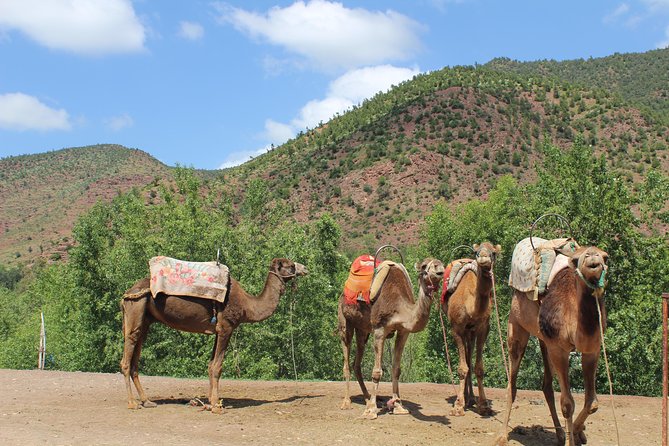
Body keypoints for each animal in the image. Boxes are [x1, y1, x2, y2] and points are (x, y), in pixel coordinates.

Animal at [120, 258, 308, 413]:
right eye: (291, 265)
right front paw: (217, 406)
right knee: (128, 354)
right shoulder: (226, 327)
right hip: (136, 306)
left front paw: (211, 402)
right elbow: (218, 366)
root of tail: (127, 293)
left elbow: (211, 365)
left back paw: (147, 401)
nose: (305, 268)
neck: (247, 305)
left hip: (145, 319)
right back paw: (132, 403)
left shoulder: (218, 330)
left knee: (137, 352)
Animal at [337, 258, 444, 419]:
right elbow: (376, 372)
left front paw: (398, 406)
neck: (400, 307)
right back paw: (347, 402)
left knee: (357, 362)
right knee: (346, 359)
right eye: (424, 266)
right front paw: (370, 411)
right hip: (345, 321)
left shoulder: (403, 331)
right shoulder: (379, 330)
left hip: (363, 330)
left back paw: (368, 398)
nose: (439, 268)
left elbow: (396, 369)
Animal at [444, 242, 501, 417]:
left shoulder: (483, 328)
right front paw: (458, 406)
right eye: (477, 252)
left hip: (471, 331)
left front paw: (484, 405)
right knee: (467, 358)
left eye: (494, 252)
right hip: (465, 331)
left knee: (469, 355)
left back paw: (471, 399)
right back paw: (465, 399)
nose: (483, 257)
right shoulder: (456, 328)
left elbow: (479, 368)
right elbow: (463, 368)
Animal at [495, 245, 609, 446]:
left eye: (605, 256)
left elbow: (592, 402)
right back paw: (502, 436)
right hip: (517, 327)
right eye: (576, 259)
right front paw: (573, 437)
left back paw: (560, 434)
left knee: (546, 385)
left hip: (544, 340)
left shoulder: (591, 350)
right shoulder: (559, 349)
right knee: (512, 383)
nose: (592, 256)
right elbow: (567, 404)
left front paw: (577, 433)